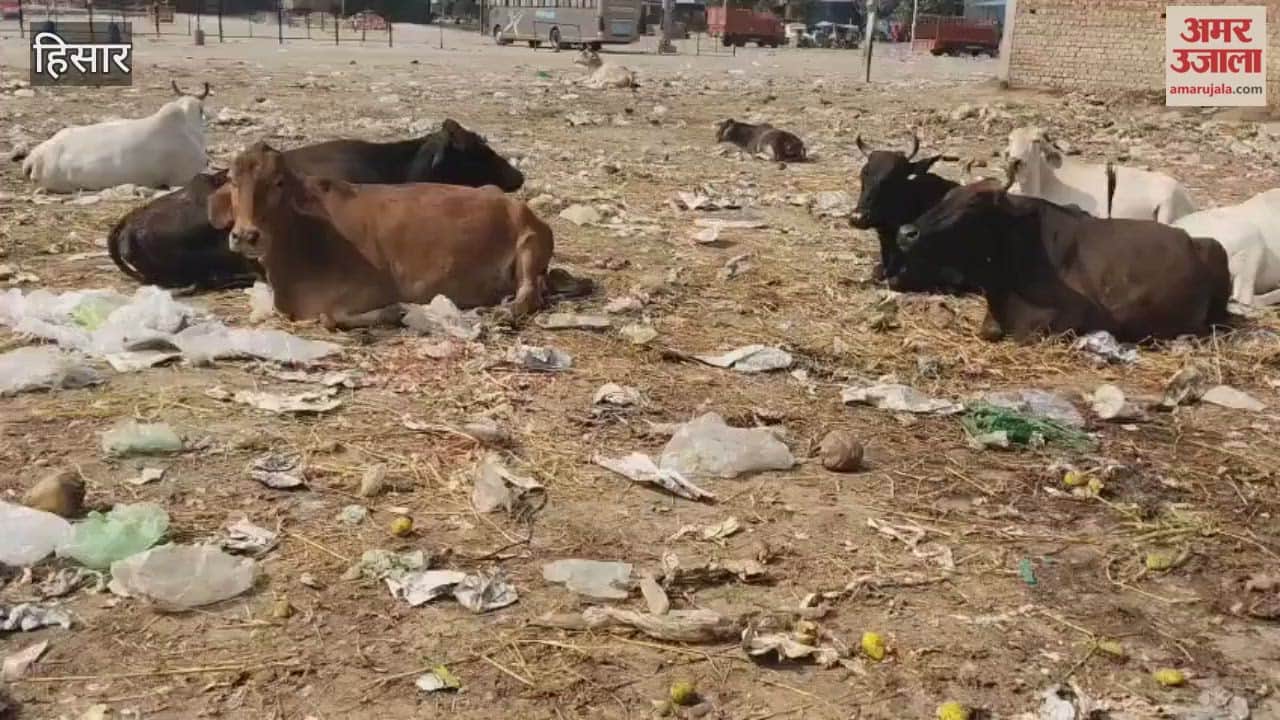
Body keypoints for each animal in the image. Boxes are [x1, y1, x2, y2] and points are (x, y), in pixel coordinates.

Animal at [206, 141, 552, 331]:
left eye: (279, 182)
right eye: (233, 181)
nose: (246, 236)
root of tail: (517, 204)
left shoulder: (376, 286)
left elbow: (331, 316)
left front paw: (396, 311)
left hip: (529, 247)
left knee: (529, 295)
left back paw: (501, 311)